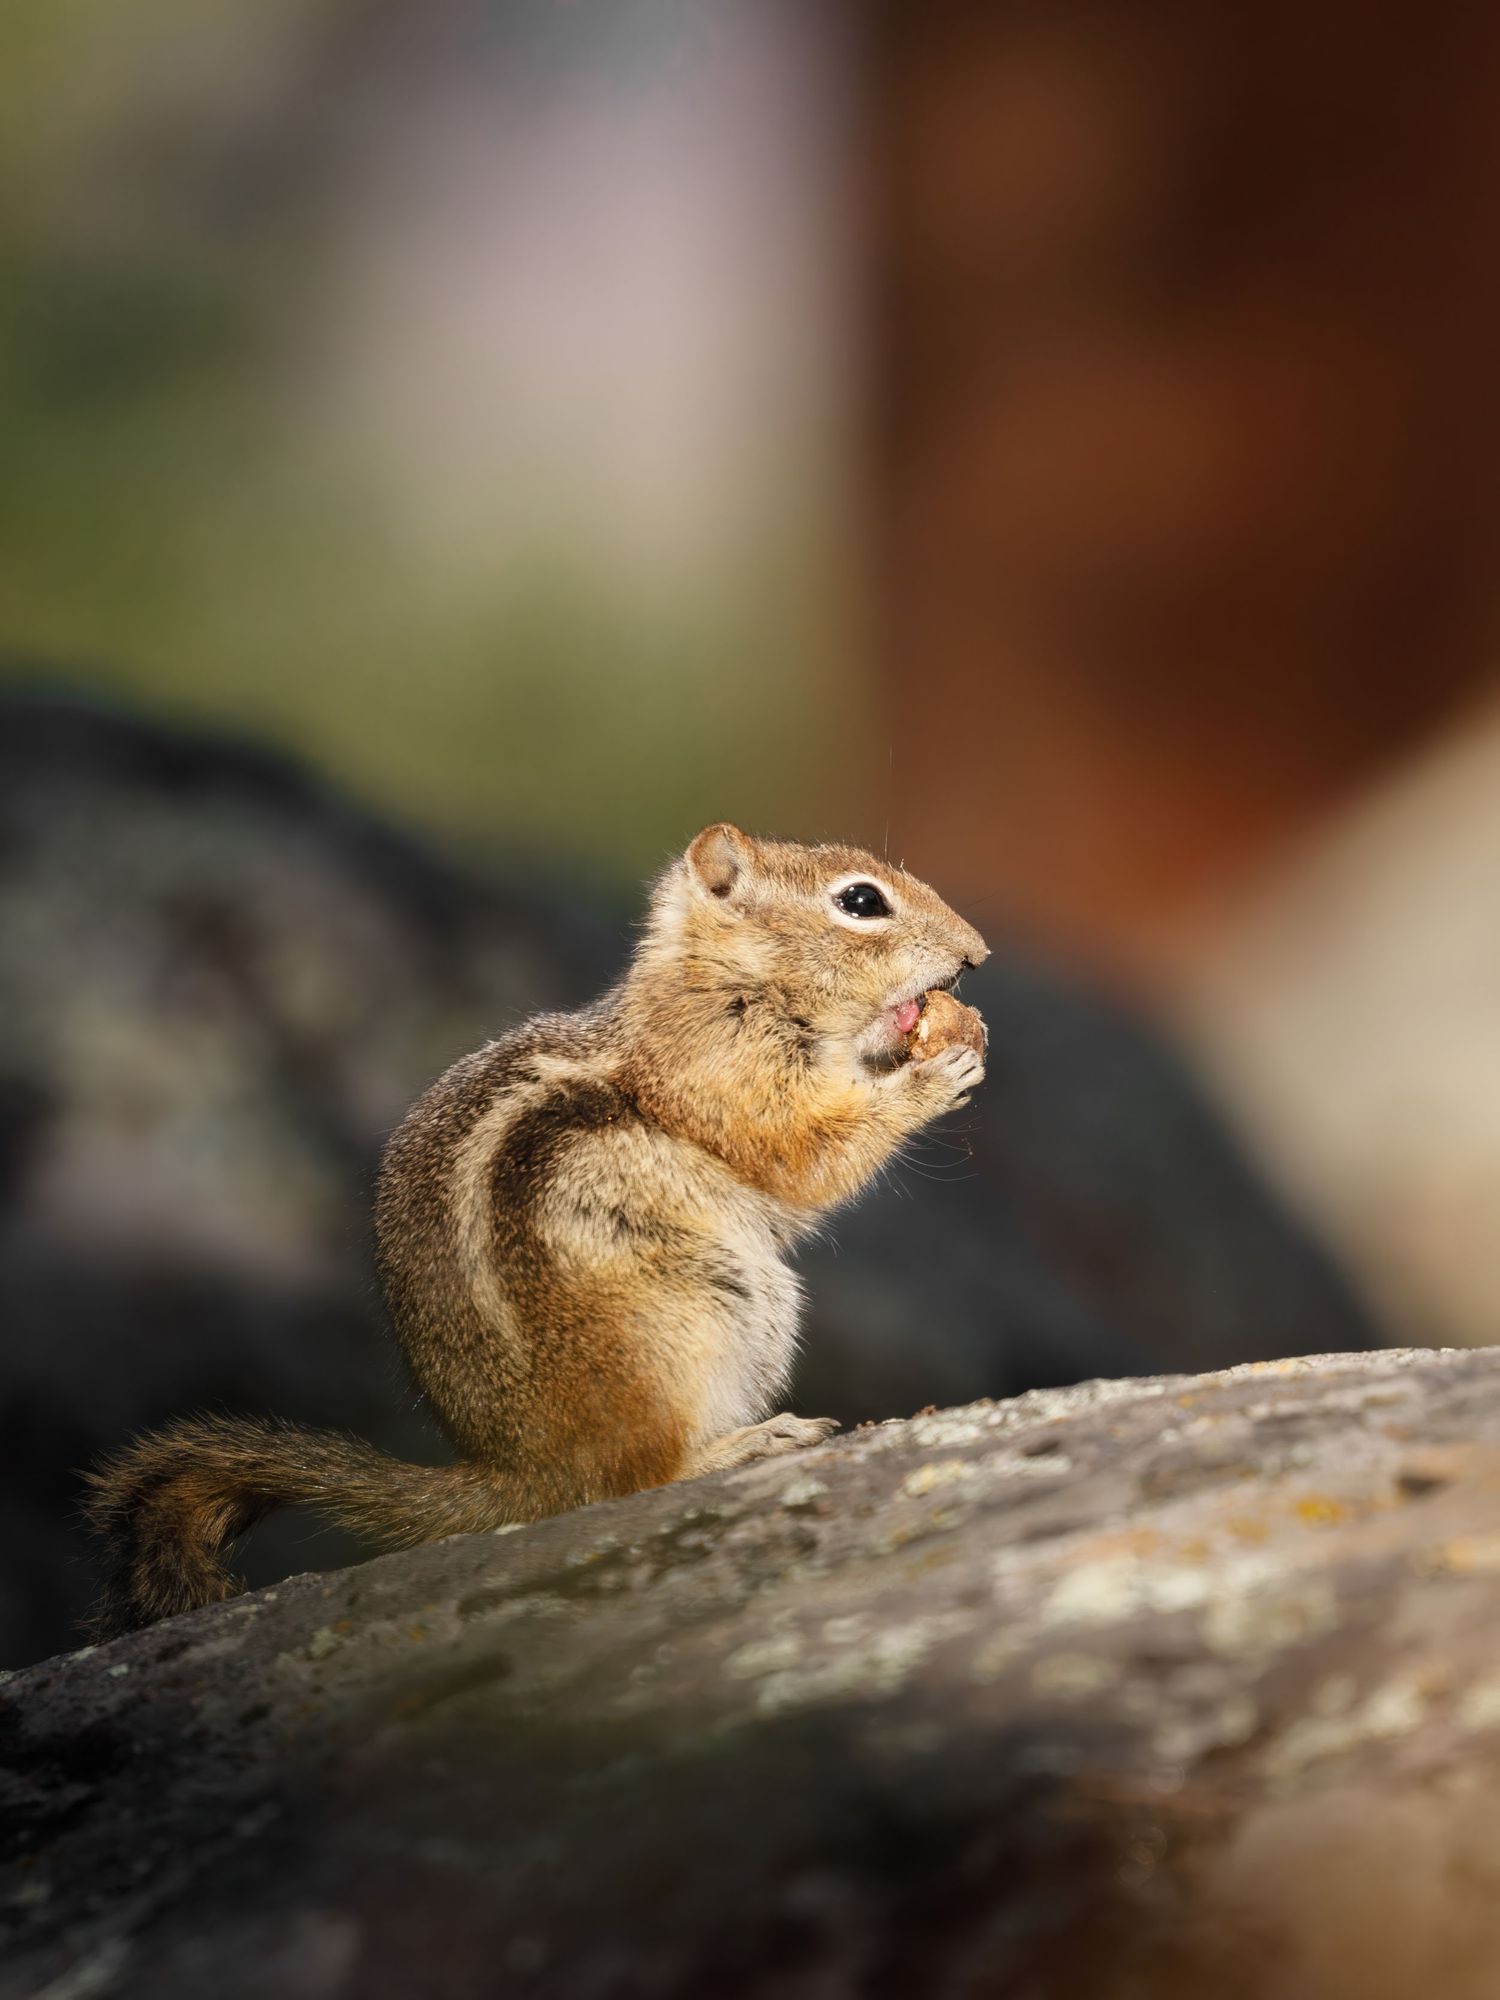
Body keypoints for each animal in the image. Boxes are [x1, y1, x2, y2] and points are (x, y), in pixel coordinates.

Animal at [85, 823, 988, 1637]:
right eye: (860, 902)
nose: (976, 954)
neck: (724, 981)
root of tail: (525, 1471)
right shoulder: (725, 1078)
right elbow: (803, 1157)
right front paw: (933, 1074)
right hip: (689, 1322)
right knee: (632, 1480)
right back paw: (746, 1446)